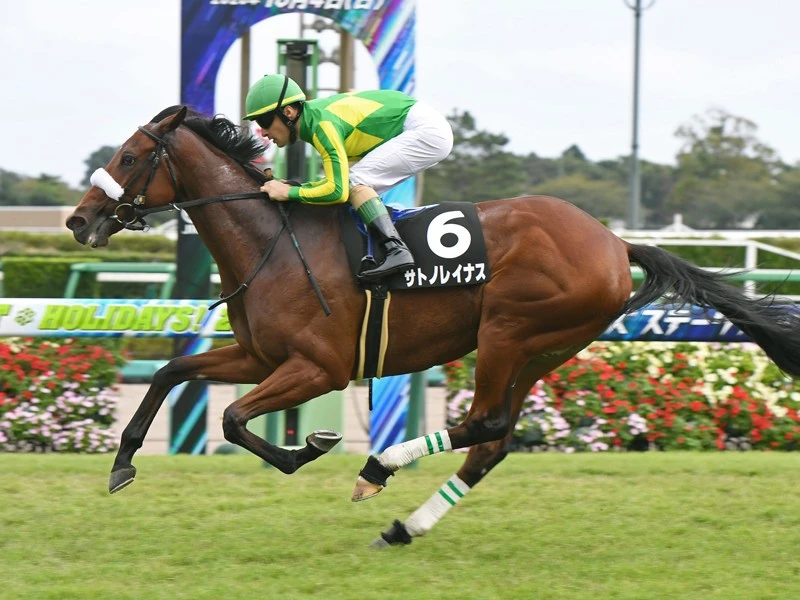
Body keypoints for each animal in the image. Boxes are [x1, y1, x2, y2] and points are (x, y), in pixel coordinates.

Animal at [66, 106, 800, 547]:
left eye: (129, 157)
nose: (77, 220)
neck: (270, 240)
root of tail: (615, 242)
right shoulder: (258, 356)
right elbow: (172, 372)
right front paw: (124, 461)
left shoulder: (320, 368)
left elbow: (232, 418)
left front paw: (309, 448)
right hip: (544, 348)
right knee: (491, 442)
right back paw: (404, 525)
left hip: (509, 331)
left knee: (484, 422)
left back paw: (379, 465)